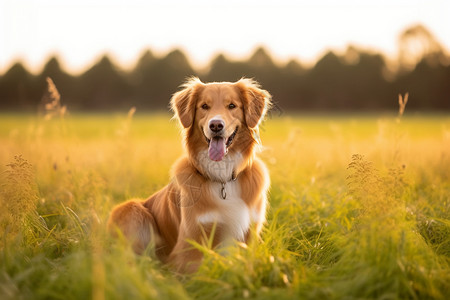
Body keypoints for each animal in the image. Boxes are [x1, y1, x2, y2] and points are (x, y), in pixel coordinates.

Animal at [107, 77, 272, 272]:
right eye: (204, 106)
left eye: (232, 105)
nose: (216, 125)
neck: (222, 178)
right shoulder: (188, 246)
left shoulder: (250, 235)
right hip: (132, 210)